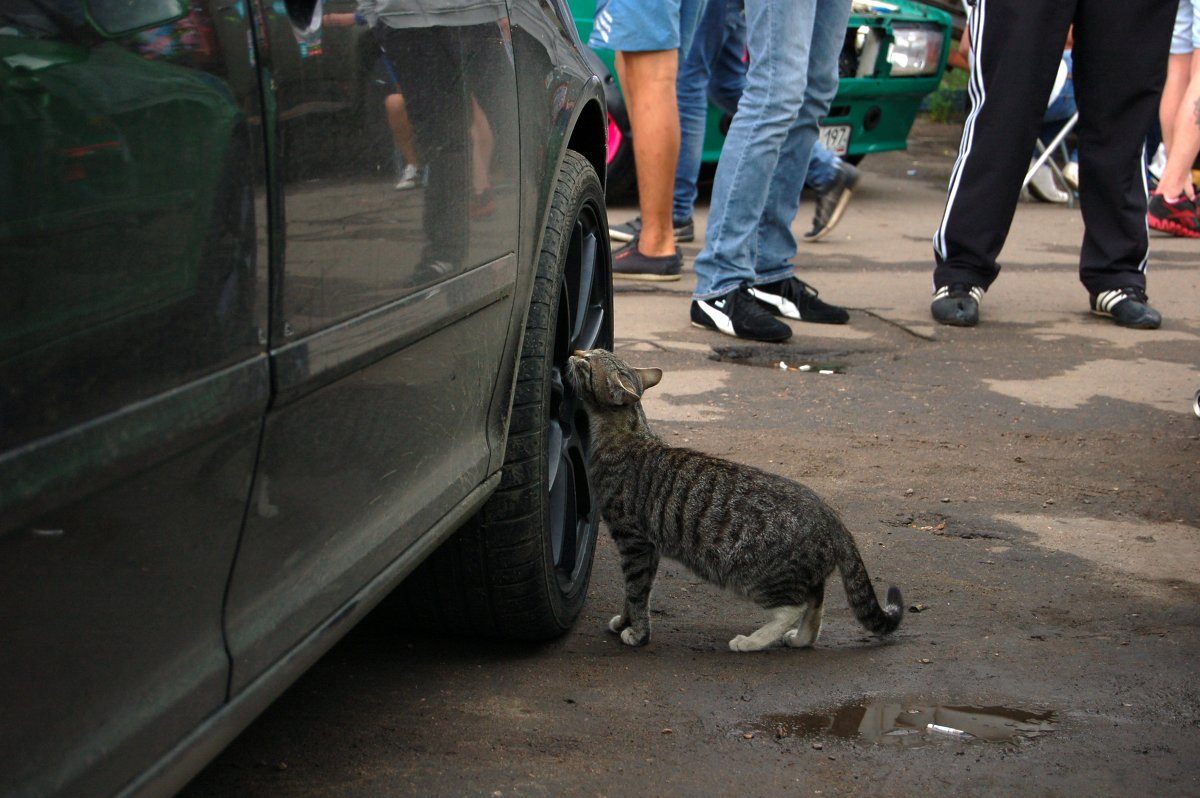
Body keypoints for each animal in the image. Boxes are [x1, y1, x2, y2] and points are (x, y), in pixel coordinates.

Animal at [564, 348, 902, 648]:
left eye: (588, 362)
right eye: (590, 352)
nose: (574, 351)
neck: (629, 434)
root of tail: (831, 516)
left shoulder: (633, 540)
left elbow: (635, 591)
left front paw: (637, 633)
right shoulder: (648, 547)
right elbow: (637, 592)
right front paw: (626, 621)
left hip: (756, 574)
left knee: (794, 608)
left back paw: (752, 641)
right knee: (816, 602)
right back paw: (800, 640)